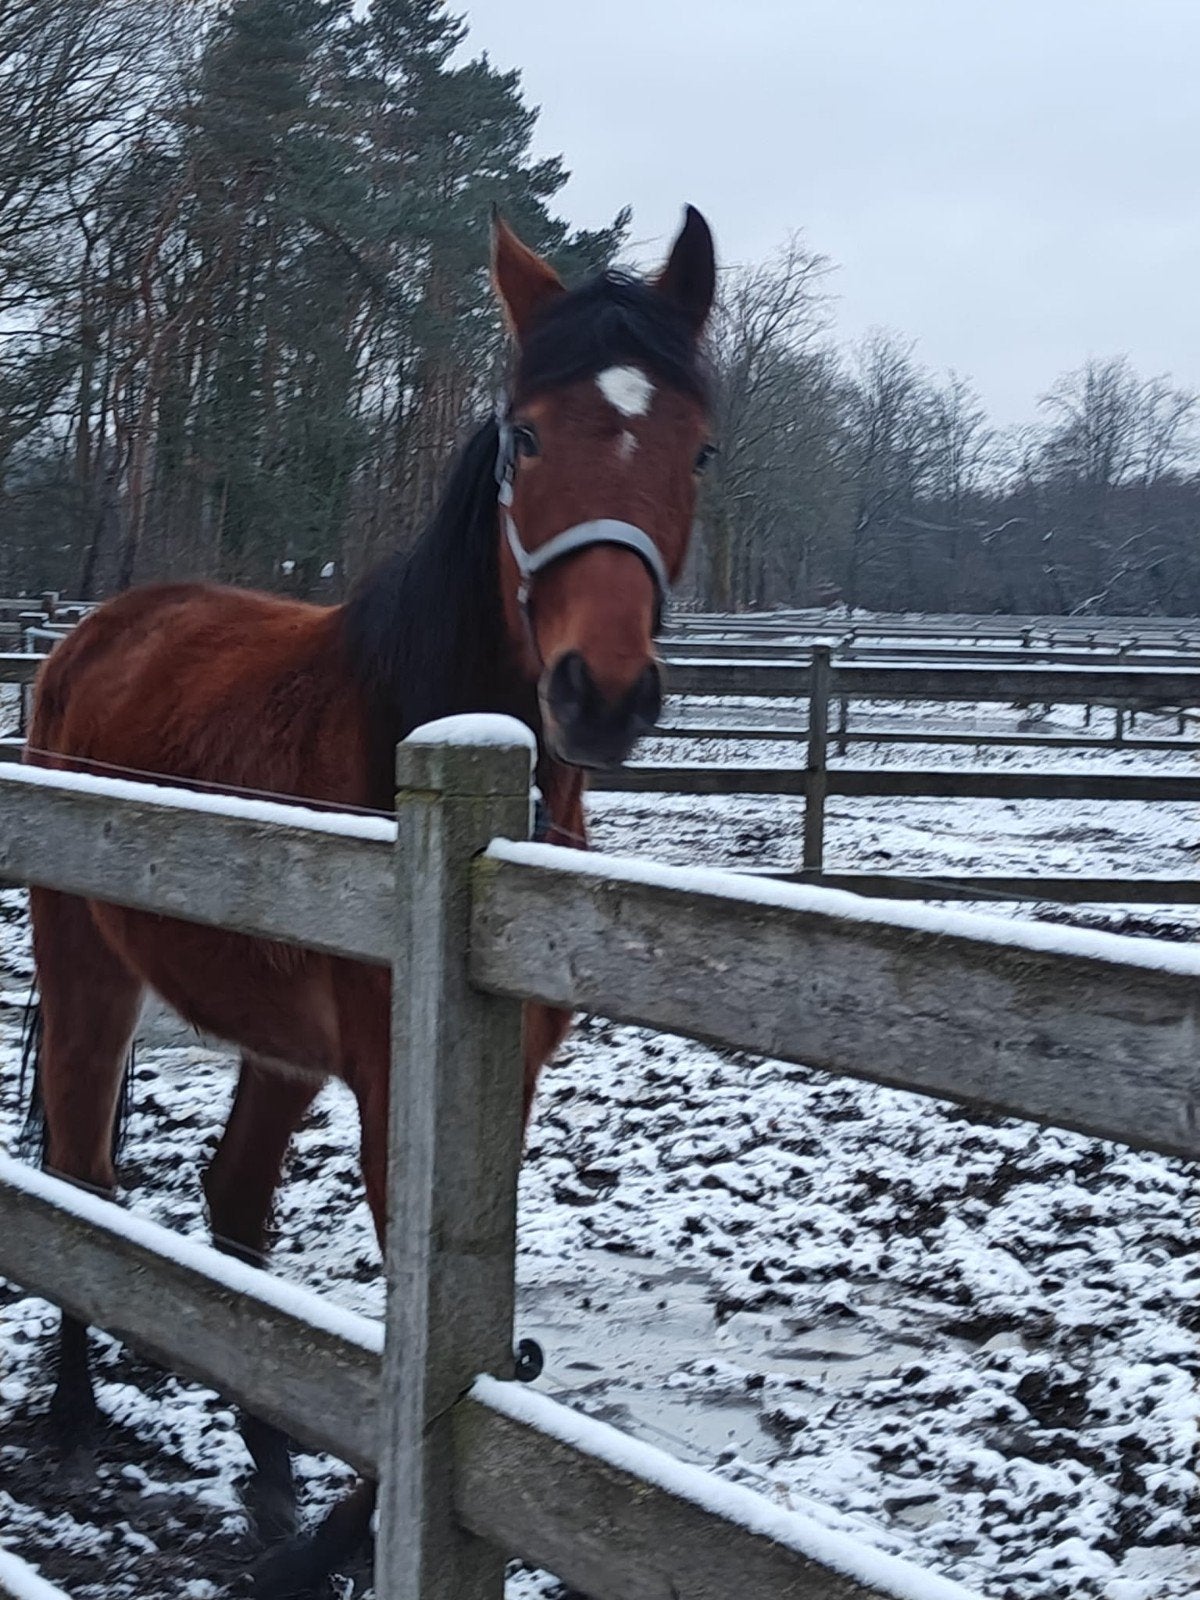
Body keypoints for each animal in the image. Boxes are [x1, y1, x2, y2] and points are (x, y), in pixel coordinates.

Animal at [21, 206, 716, 1593]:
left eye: (700, 447)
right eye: (527, 433)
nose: (601, 691)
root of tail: (95, 631)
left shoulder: (490, 1073)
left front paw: (323, 1523)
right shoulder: (402, 1077)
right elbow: (421, 1311)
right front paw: (355, 1533)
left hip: (276, 1039)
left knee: (232, 1203)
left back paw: (273, 1461)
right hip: (87, 968)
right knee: (82, 1171)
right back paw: (74, 1414)